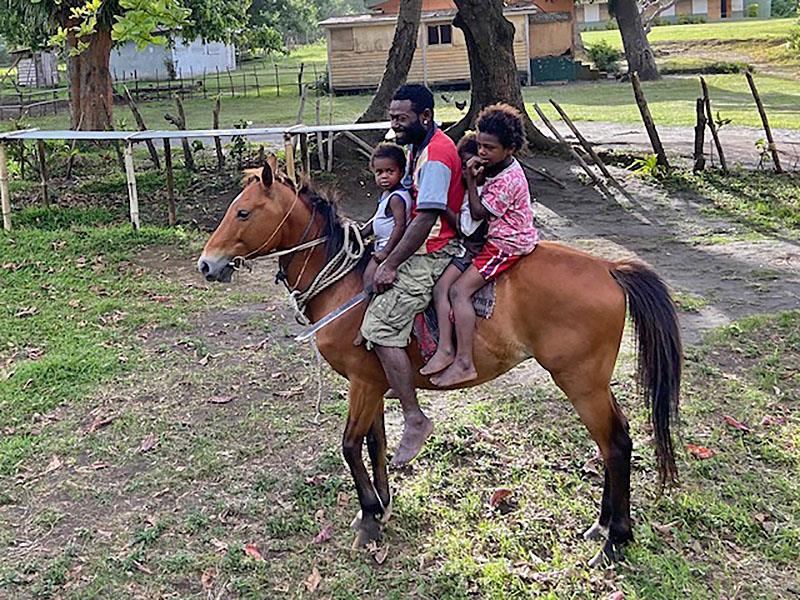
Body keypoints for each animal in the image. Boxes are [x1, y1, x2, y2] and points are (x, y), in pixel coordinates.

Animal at [198, 157, 680, 564]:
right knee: (618, 440)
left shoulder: (363, 382)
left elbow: (351, 446)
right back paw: (604, 525)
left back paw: (615, 540)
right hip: (592, 382)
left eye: (243, 213)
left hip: (580, 382)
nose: (206, 265)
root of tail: (609, 268)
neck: (347, 284)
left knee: (614, 445)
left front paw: (369, 518)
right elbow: (375, 444)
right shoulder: (373, 384)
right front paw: (382, 508)